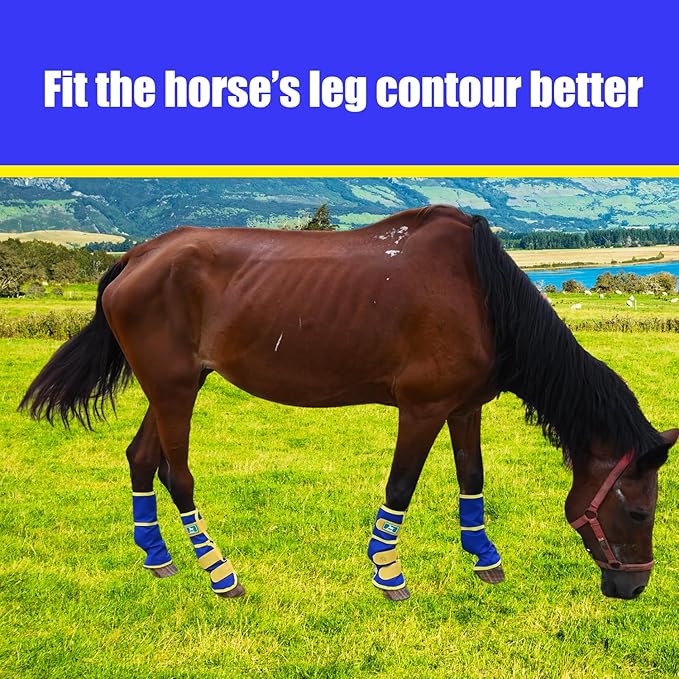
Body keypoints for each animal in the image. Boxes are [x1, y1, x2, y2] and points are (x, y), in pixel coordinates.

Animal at [20, 205, 677, 601]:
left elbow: (472, 478)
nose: (632, 589)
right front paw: (387, 571)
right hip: (175, 390)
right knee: (176, 474)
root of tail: (135, 256)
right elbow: (401, 487)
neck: (483, 295)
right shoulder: (422, 409)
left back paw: (157, 556)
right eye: (638, 511)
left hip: (172, 388)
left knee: (140, 457)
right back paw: (219, 573)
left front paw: (483, 558)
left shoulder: (464, 408)